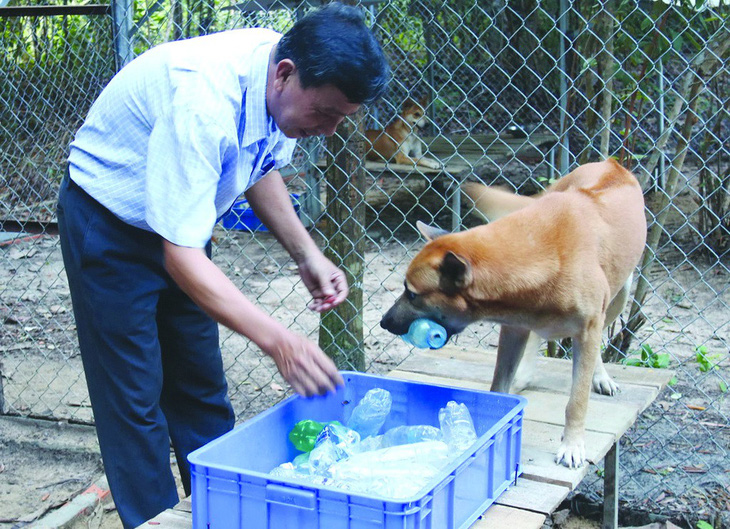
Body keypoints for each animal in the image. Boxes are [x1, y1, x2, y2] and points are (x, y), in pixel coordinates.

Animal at [378, 160, 644, 466]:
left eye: (412, 294)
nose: (383, 322)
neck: (539, 254)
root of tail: (611, 163)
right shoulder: (514, 328)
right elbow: (499, 384)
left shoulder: (587, 328)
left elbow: (577, 400)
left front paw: (573, 444)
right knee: (538, 338)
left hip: (618, 298)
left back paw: (599, 376)